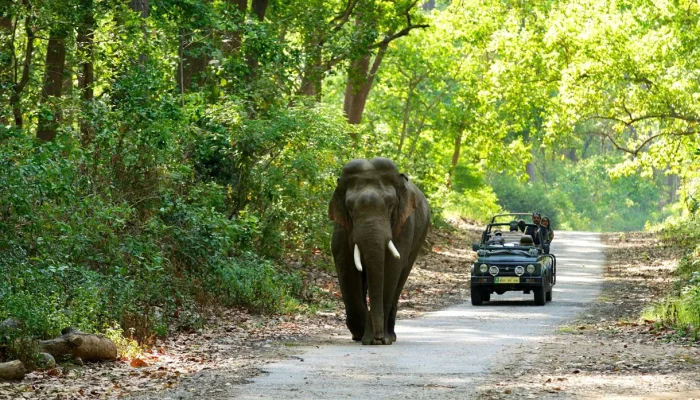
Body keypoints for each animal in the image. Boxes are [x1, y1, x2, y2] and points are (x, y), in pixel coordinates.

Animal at [330, 157, 432, 344]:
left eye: (391, 205)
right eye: (349, 207)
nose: (377, 337)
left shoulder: (404, 225)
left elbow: (391, 266)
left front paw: (378, 339)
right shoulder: (341, 226)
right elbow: (345, 264)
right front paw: (363, 334)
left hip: (420, 236)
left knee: (401, 278)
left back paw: (390, 335)